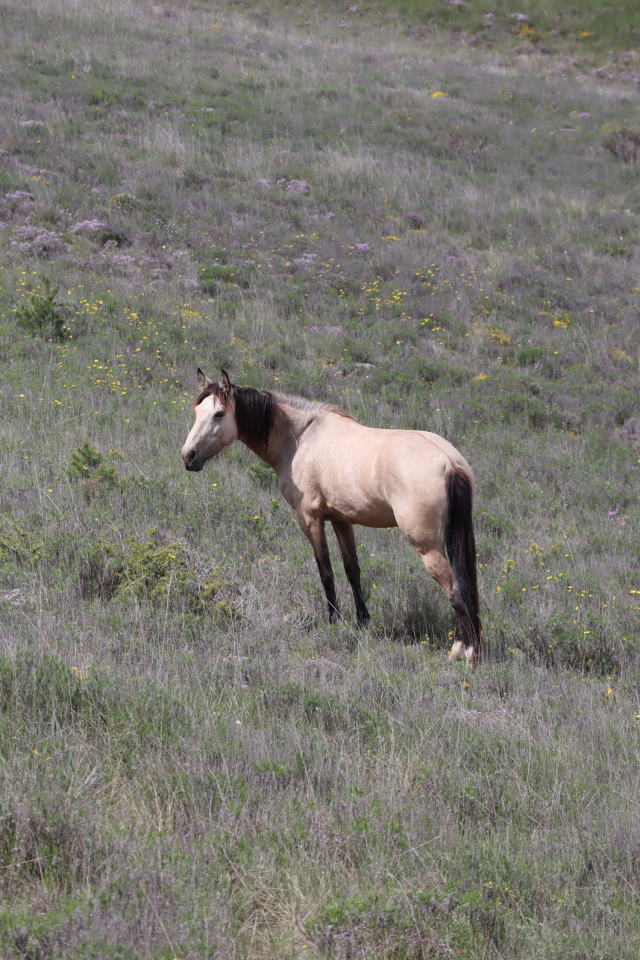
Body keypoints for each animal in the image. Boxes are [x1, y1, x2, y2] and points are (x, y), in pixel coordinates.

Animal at [181, 369, 482, 665]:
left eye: (219, 414)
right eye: (196, 411)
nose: (188, 456)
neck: (301, 438)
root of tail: (449, 464)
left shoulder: (310, 518)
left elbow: (325, 572)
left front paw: (334, 622)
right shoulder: (341, 520)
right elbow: (352, 571)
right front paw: (362, 622)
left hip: (427, 546)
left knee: (456, 591)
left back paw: (462, 651)